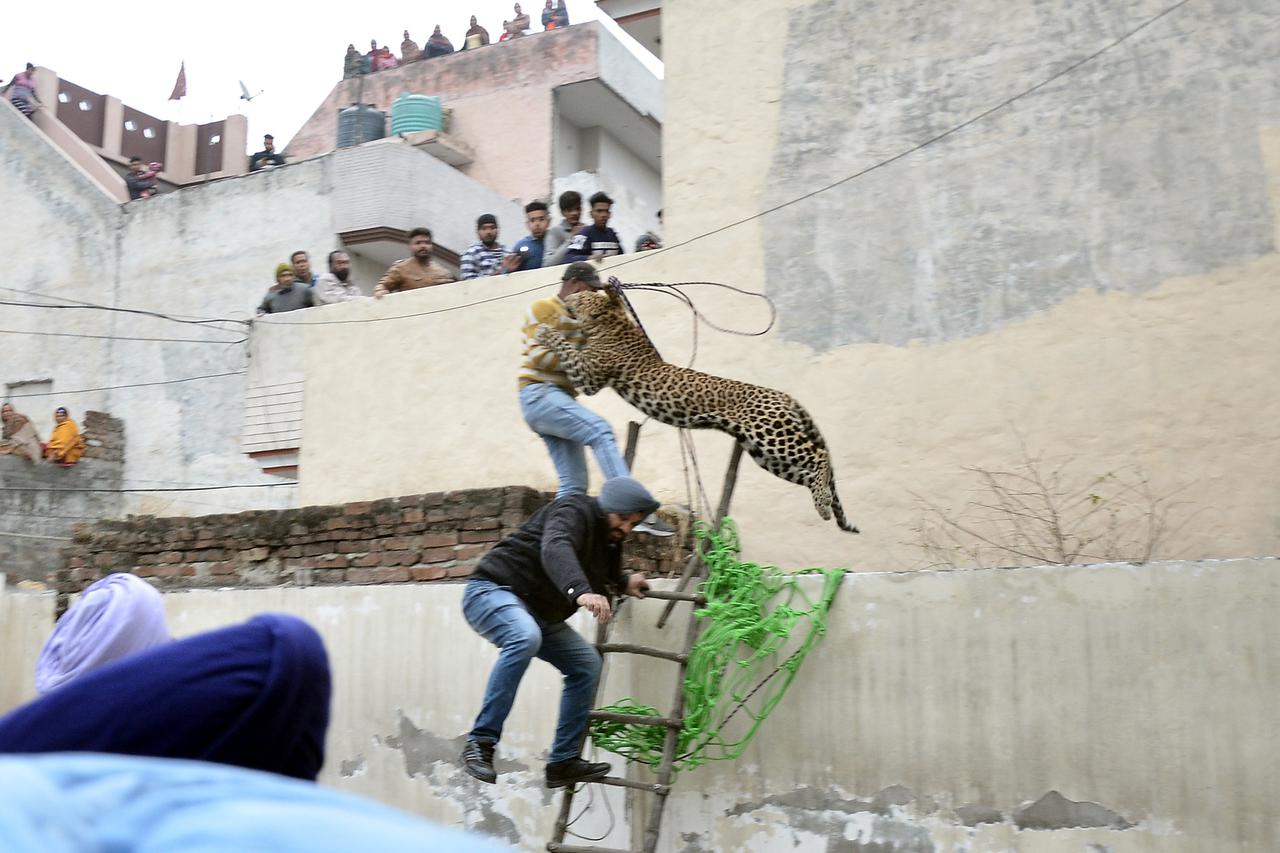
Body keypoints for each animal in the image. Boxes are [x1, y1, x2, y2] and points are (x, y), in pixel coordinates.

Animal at [535, 288, 859, 533]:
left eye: (581, 295)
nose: (566, 295)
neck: (609, 322)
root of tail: (784, 395)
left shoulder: (588, 376)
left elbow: (565, 347)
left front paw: (544, 331)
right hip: (765, 455)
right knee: (810, 473)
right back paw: (825, 505)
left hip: (771, 437)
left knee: (820, 456)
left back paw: (822, 505)